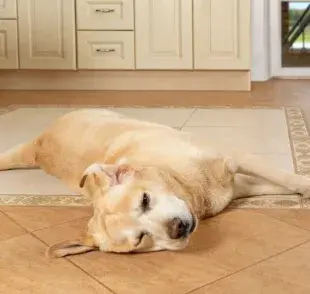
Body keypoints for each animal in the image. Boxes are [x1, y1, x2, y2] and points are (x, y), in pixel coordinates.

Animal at [0, 109, 310, 258]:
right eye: (140, 238)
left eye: (145, 200)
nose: (177, 228)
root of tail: (39, 143)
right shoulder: (239, 186)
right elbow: (279, 184)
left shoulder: (233, 159)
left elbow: (286, 177)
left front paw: (303, 183)